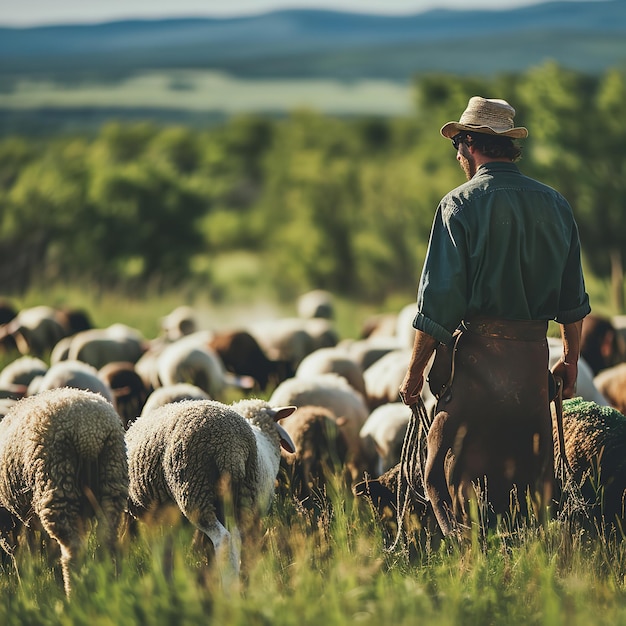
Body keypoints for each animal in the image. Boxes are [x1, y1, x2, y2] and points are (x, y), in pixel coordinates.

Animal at [0, 386, 128, 596]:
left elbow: (17, 551)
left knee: (73, 550)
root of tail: (89, 431)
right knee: (107, 540)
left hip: (57, 480)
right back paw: (108, 584)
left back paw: (73, 593)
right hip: (112, 478)